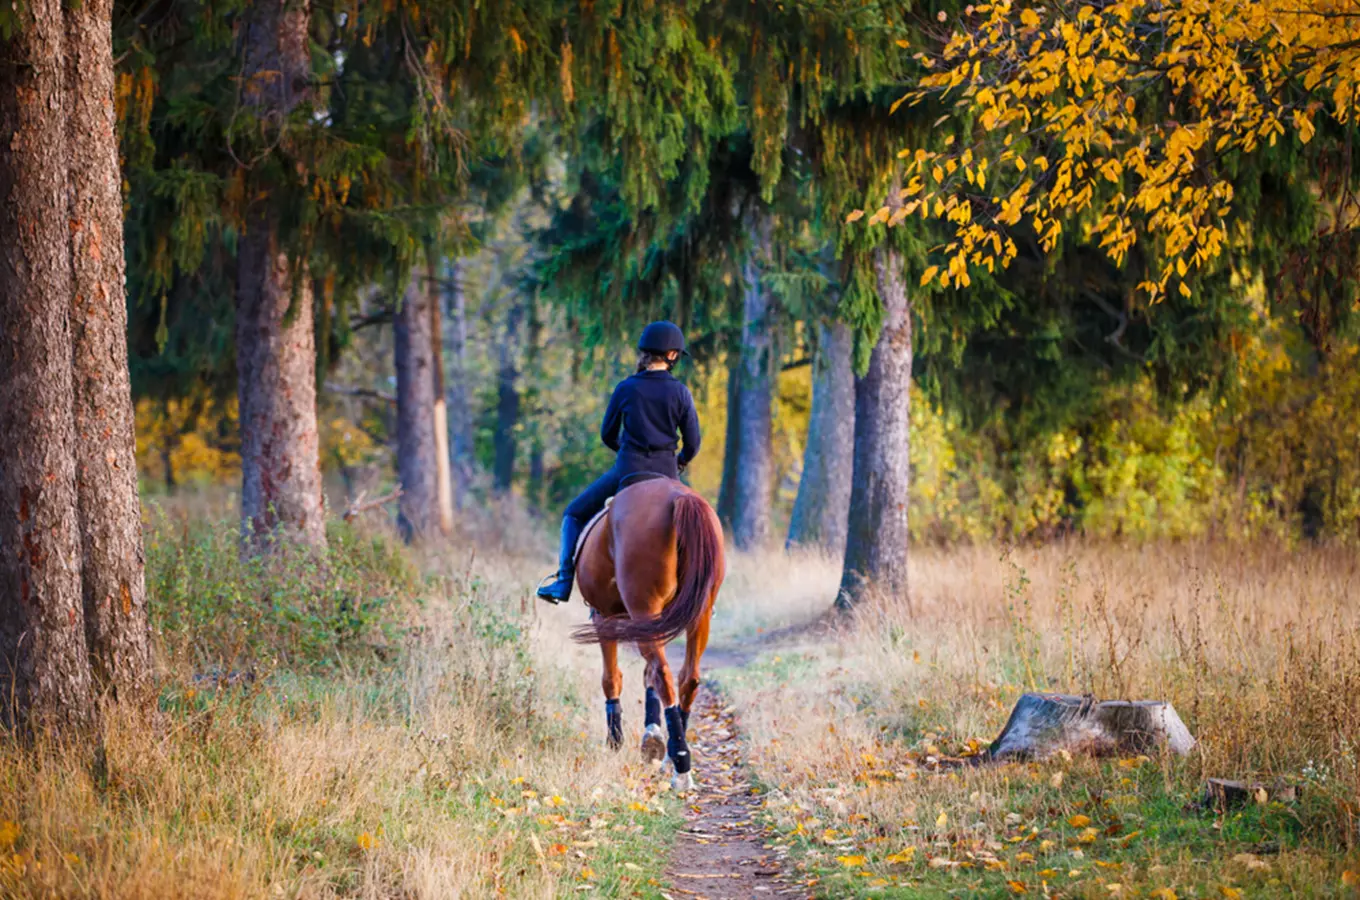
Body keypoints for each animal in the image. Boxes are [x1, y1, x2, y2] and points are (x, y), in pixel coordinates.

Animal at [571, 475, 728, 793]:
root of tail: (679, 497)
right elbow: (646, 678)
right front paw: (652, 738)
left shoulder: (603, 616)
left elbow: (611, 678)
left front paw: (615, 740)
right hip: (698, 613)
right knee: (687, 677)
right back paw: (672, 758)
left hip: (642, 608)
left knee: (663, 673)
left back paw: (680, 763)